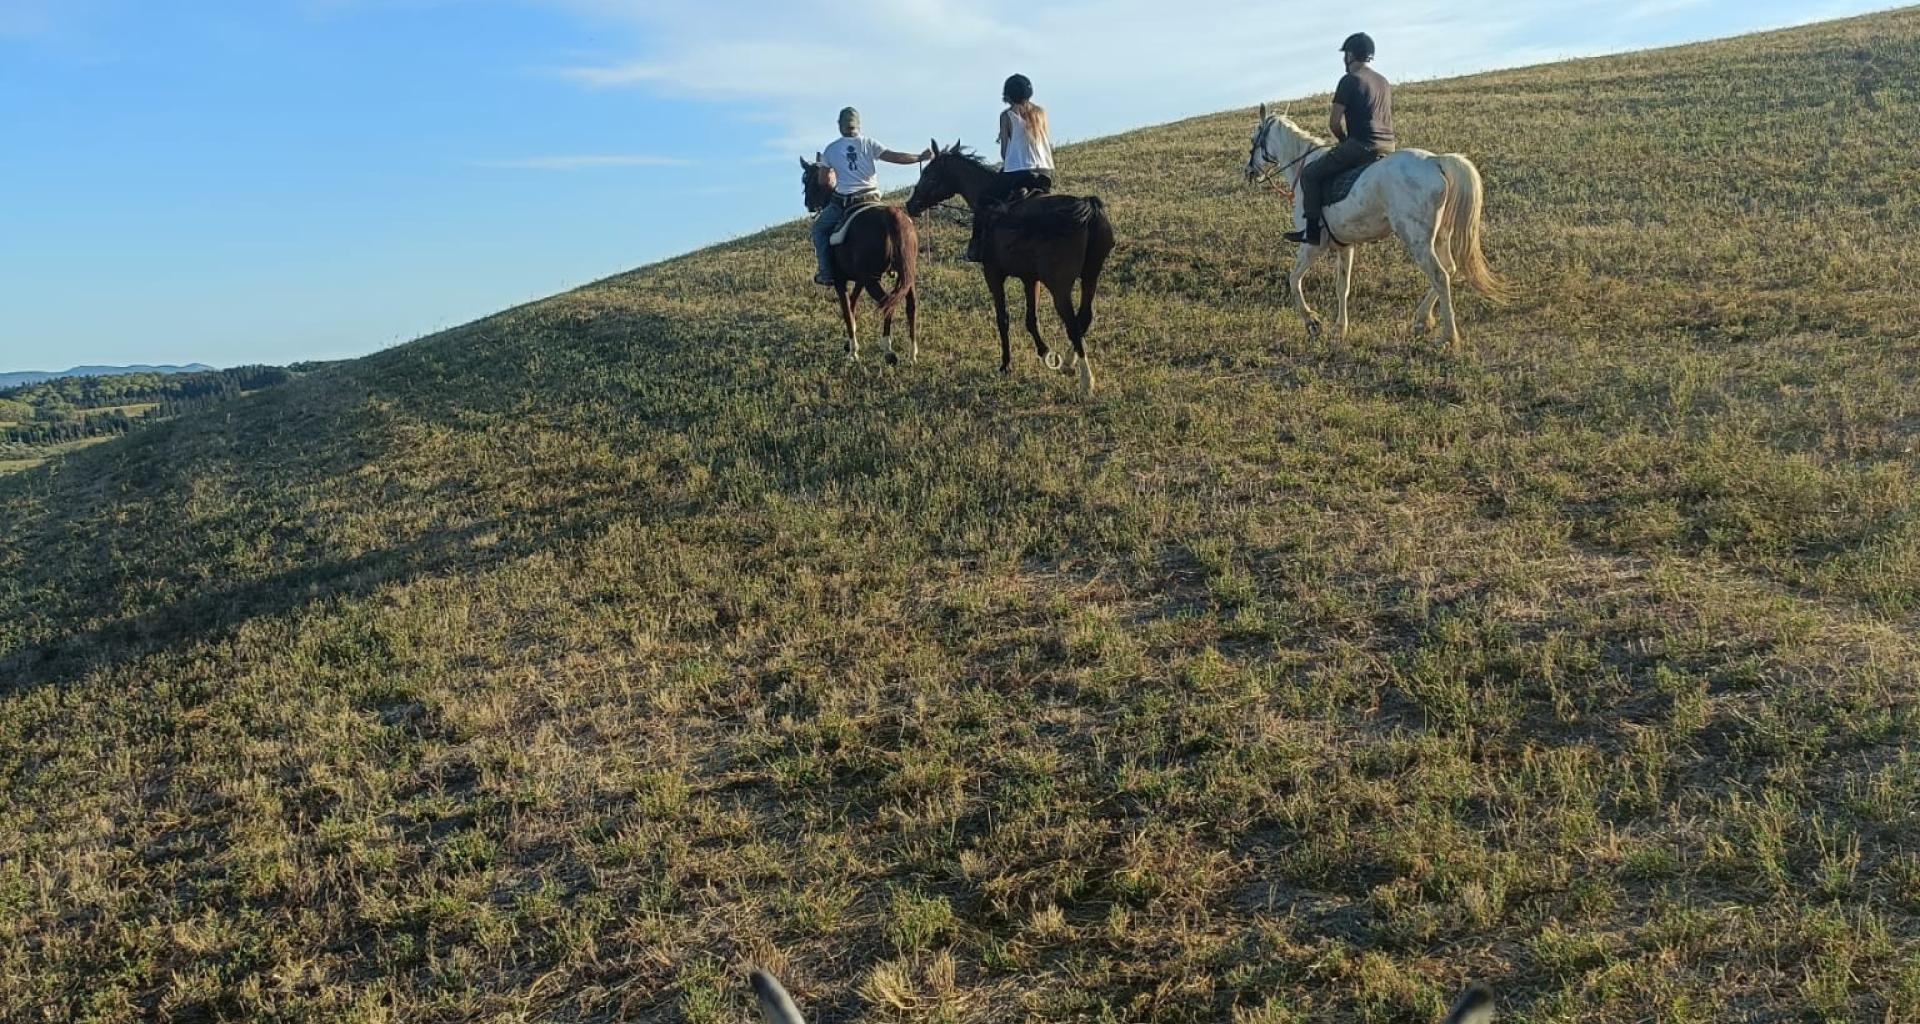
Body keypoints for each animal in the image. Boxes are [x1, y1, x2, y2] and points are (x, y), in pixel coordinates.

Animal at [800, 157, 919, 365]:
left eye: (807, 180)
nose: (808, 204)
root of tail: (891, 214)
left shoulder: (840, 281)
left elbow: (847, 310)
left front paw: (853, 351)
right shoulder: (860, 279)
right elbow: (853, 303)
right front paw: (850, 343)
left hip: (873, 280)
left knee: (887, 303)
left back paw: (888, 349)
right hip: (905, 274)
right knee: (909, 306)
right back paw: (912, 353)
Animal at [904, 139, 1115, 395]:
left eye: (929, 175)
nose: (910, 205)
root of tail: (1088, 208)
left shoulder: (994, 275)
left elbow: (1002, 318)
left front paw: (1005, 364)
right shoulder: (1029, 278)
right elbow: (1030, 318)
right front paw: (1045, 352)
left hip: (1060, 287)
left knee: (1073, 324)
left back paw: (1086, 380)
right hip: (1090, 276)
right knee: (1084, 317)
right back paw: (1067, 362)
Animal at [1244, 106, 1508, 350]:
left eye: (1252, 139)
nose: (1248, 172)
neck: (1302, 166)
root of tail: (1434, 161)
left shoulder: (1312, 246)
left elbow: (1294, 279)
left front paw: (1312, 322)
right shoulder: (1345, 245)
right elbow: (1342, 287)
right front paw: (1340, 329)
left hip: (1417, 240)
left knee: (1440, 276)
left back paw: (1447, 337)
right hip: (1439, 236)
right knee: (1450, 269)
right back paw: (1421, 320)